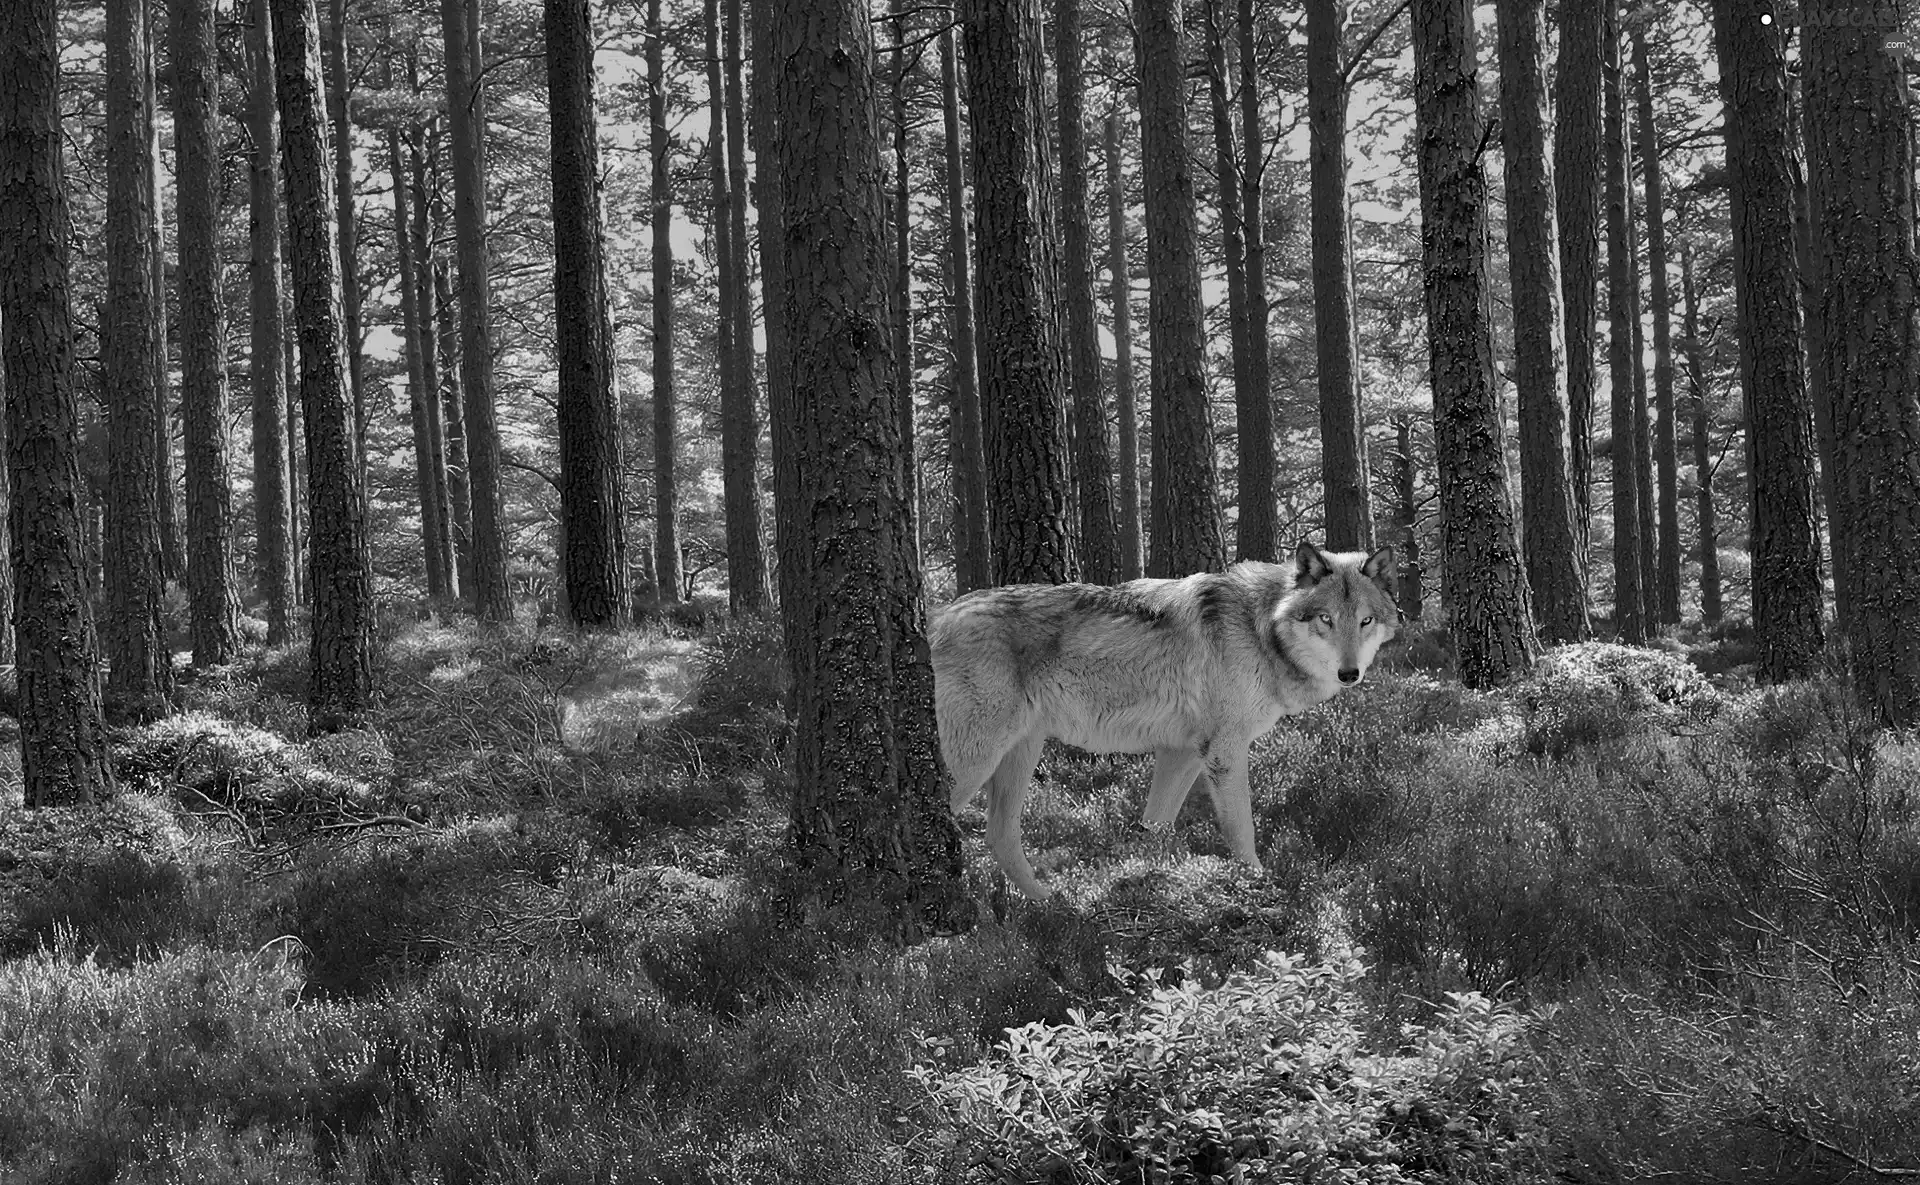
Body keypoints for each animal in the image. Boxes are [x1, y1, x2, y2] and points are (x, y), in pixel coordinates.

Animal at [929, 541, 1397, 894]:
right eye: (1325, 619)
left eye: (1365, 621)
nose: (1350, 674)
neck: (1258, 627)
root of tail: (933, 620)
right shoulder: (1223, 754)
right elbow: (1242, 832)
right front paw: (1256, 884)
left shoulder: (1182, 754)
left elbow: (1155, 825)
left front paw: (1150, 876)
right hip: (974, 764)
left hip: (1019, 755)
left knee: (999, 837)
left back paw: (1051, 909)